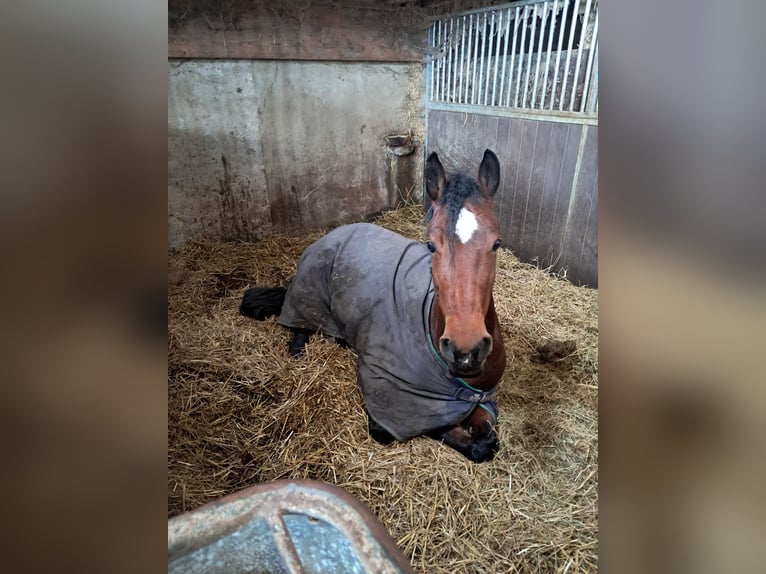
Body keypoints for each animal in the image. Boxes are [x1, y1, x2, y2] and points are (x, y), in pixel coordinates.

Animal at [240, 150, 506, 462]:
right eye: (430, 245)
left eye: (496, 243)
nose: (466, 350)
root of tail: (330, 235)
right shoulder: (388, 406)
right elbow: (451, 433)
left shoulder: (483, 399)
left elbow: (486, 436)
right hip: (308, 298)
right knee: (300, 329)